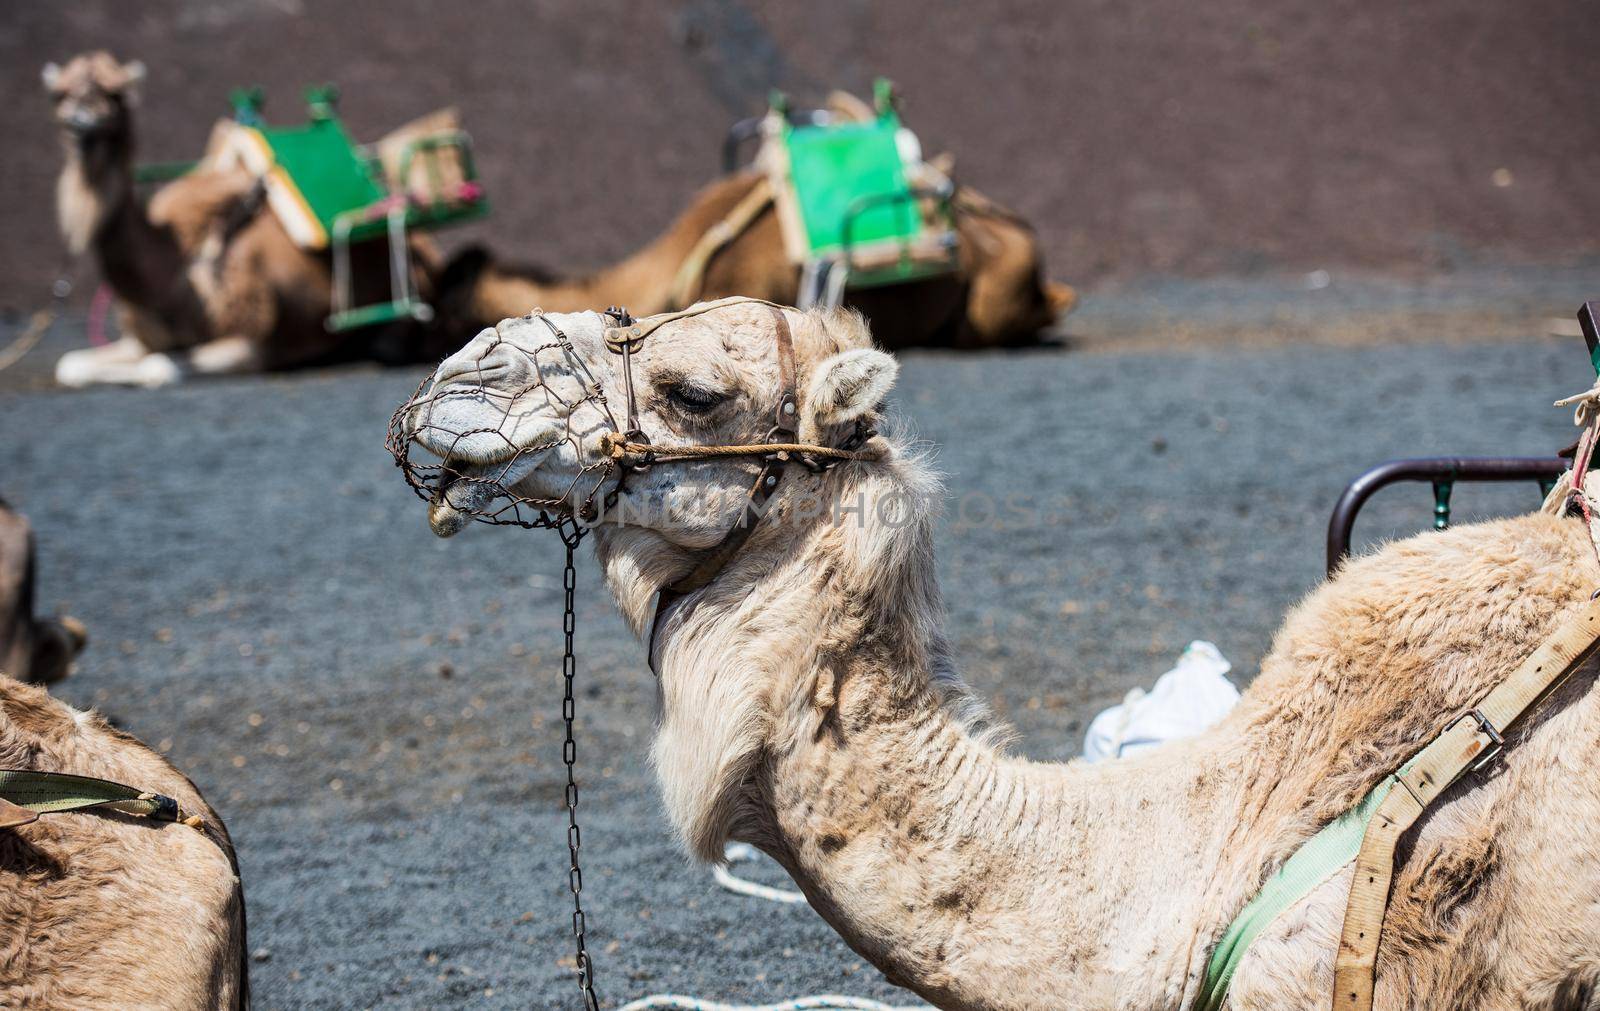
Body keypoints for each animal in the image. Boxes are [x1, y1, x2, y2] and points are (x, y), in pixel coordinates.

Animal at [43, 51, 444, 390]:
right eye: (59, 95)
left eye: (114, 94)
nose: (78, 123)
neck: (174, 269)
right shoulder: (141, 339)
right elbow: (70, 366)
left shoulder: (249, 342)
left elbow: (158, 367)